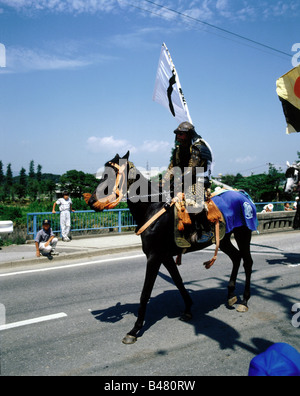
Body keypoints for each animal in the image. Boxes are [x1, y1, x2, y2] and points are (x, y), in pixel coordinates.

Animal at [84, 153, 255, 344]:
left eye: (110, 175)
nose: (91, 201)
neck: (151, 208)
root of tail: (243, 196)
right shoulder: (164, 256)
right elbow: (178, 281)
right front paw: (188, 308)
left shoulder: (154, 256)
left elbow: (145, 293)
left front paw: (135, 330)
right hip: (223, 239)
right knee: (236, 257)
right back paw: (231, 294)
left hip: (243, 233)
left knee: (247, 262)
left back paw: (244, 301)